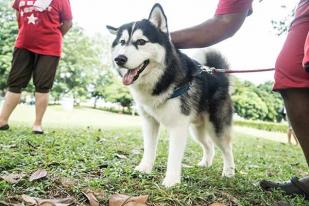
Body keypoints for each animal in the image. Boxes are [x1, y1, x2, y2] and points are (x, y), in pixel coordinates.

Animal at [106, 3, 233, 187]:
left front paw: (171, 182)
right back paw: (205, 164)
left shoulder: (178, 126)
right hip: (197, 130)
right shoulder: (149, 122)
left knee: (227, 148)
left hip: (215, 127)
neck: (161, 77)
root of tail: (219, 75)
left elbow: (174, 156)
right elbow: (149, 148)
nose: (119, 59)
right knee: (209, 145)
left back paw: (229, 172)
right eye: (122, 42)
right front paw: (144, 169)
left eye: (141, 42)